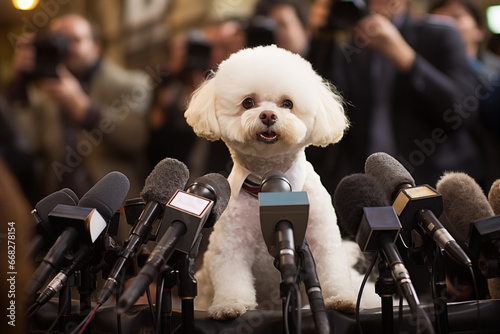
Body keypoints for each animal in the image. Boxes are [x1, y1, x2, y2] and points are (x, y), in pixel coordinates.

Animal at [184, 45, 360, 320]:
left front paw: (341, 298)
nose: (268, 114)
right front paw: (229, 305)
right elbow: (231, 276)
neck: (267, 183)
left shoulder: (322, 241)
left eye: (288, 104)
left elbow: (332, 269)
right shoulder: (231, 246)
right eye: (248, 102)